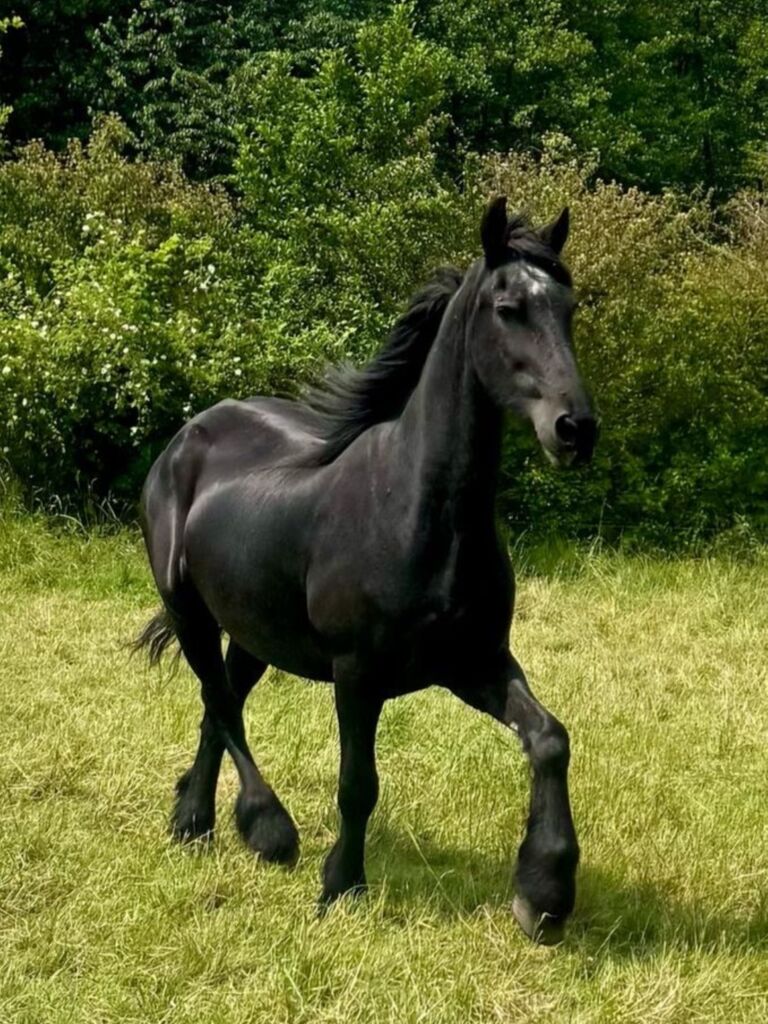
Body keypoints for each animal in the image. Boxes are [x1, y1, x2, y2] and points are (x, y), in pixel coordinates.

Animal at [134, 196, 597, 943]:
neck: (415, 514)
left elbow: (550, 740)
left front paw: (544, 893)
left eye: (568, 307)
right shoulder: (357, 676)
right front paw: (341, 887)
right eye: (508, 308)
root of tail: (187, 436)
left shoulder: (475, 662)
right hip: (188, 610)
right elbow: (358, 784)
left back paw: (194, 823)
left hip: (254, 632)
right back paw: (266, 829)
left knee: (218, 704)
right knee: (220, 703)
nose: (575, 429)